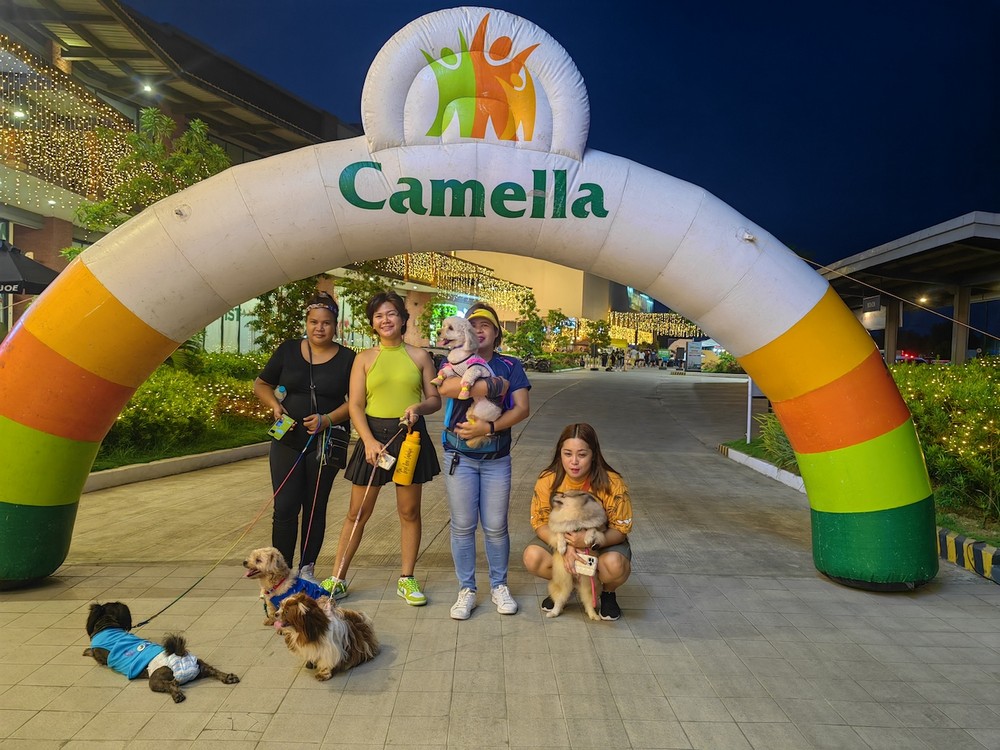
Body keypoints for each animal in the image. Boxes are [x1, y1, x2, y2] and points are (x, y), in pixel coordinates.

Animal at [82, 604, 238, 704]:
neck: (107, 625)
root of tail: (179, 654)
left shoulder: (99, 655)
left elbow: (94, 654)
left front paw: (86, 651)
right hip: (199, 666)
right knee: (212, 670)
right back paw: (228, 677)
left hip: (155, 679)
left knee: (170, 684)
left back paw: (177, 695)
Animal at [434, 314, 504, 450]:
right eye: (443, 325)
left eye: (450, 328)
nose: (438, 331)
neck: (460, 350)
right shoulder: (454, 371)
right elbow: (445, 371)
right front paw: (437, 380)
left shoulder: (475, 369)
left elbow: (467, 378)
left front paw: (464, 393)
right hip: (473, 407)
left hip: (483, 410)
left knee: (483, 426)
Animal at [548, 490, 608, 620]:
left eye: (563, 495)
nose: (554, 494)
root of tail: (575, 582)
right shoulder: (560, 527)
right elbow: (560, 533)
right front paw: (562, 547)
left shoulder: (599, 529)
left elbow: (592, 528)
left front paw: (587, 538)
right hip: (564, 581)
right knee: (559, 600)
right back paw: (553, 612)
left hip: (588, 585)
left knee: (589, 603)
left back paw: (594, 615)